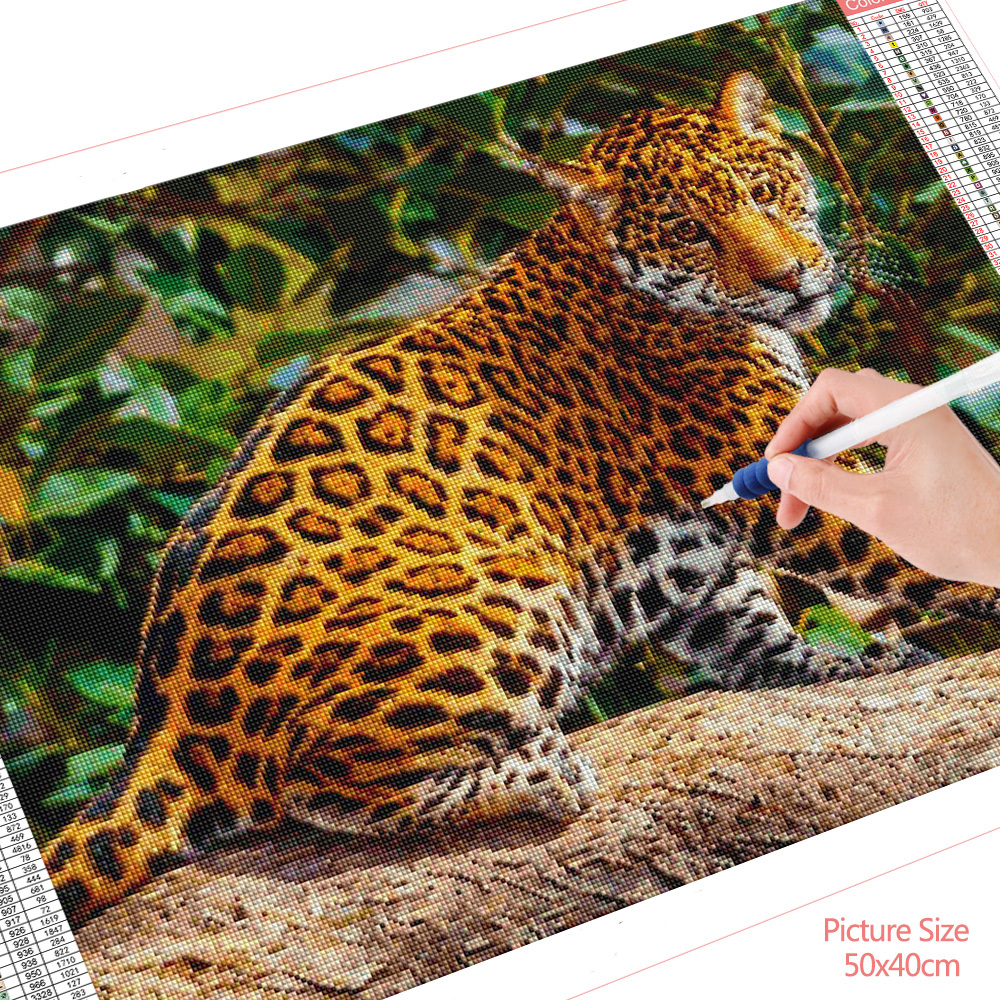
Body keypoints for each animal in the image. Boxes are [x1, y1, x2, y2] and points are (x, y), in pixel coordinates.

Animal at [42, 71, 998, 928]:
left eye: (764, 191)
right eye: (690, 230)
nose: (790, 278)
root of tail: (164, 721)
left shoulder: (698, 543)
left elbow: (743, 623)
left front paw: (835, 664)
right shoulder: (774, 467)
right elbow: (905, 545)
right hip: (500, 596)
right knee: (320, 781)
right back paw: (539, 776)